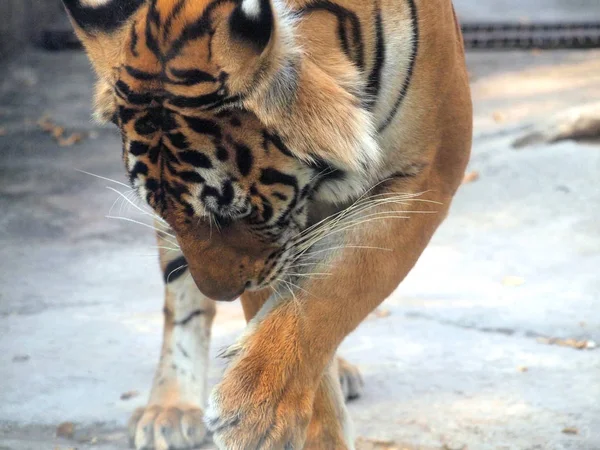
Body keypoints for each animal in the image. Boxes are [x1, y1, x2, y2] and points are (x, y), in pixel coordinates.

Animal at [62, 0, 474, 448]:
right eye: (165, 209)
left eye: (233, 213)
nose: (223, 293)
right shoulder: (276, 249)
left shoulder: (427, 175)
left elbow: (335, 288)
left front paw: (255, 408)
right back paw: (169, 409)